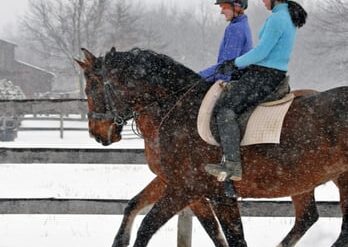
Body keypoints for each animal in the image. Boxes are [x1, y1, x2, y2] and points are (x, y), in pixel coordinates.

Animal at [77, 48, 348, 247]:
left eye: (91, 88)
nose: (97, 133)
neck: (177, 109)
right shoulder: (193, 188)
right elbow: (134, 206)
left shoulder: (186, 189)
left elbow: (147, 227)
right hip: (309, 181)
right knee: (308, 217)